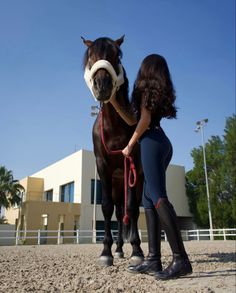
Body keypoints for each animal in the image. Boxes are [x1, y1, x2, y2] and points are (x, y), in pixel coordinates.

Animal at [81, 35, 144, 266]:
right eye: (90, 57)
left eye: (117, 55)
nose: (102, 85)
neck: (114, 126)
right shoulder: (102, 167)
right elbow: (106, 208)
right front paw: (106, 252)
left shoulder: (132, 164)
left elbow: (132, 209)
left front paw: (137, 251)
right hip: (117, 186)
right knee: (118, 213)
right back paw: (118, 249)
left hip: (133, 180)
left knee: (130, 210)